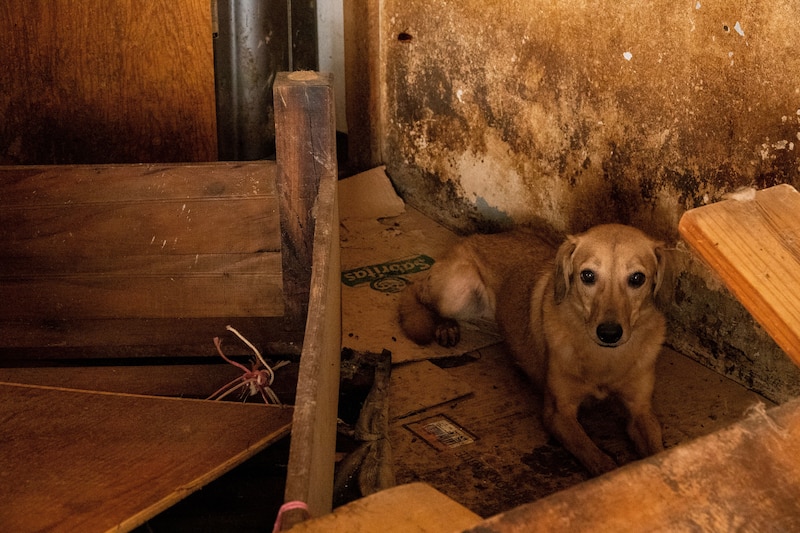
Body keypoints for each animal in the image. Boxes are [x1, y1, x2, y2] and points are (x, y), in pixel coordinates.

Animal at [400, 222, 668, 472]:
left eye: (637, 279)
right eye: (588, 276)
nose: (609, 333)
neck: (605, 358)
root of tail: (474, 237)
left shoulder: (641, 411)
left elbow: (658, 451)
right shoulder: (559, 413)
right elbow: (596, 458)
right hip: (455, 293)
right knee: (419, 292)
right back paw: (445, 326)